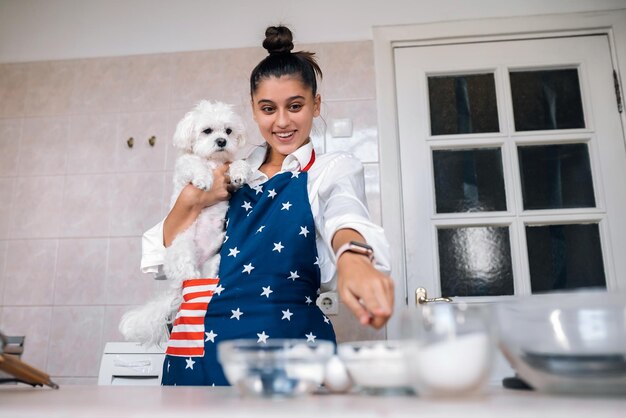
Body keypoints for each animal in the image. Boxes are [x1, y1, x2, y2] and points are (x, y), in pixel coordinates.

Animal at [119, 100, 249, 346]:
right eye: (207, 131)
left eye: (228, 131)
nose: (221, 141)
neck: (212, 161)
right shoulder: (185, 170)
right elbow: (194, 165)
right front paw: (204, 179)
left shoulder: (227, 165)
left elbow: (235, 162)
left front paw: (240, 172)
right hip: (183, 252)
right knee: (189, 278)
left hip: (215, 260)